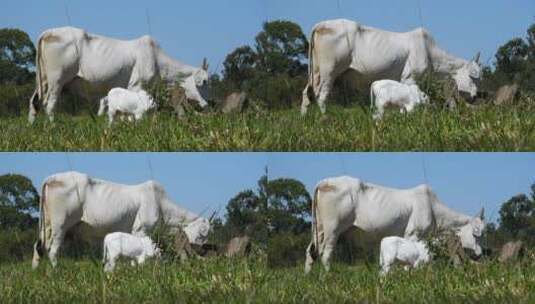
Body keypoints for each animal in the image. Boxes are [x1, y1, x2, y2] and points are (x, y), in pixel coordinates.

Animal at [28, 26, 210, 122]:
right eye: (204, 82)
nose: (206, 104)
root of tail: (49, 32)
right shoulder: (136, 86)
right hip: (57, 80)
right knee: (50, 104)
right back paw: (52, 126)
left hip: (43, 81)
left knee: (34, 102)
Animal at [31, 171, 214, 268]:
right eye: (202, 234)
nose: (201, 250)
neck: (160, 203)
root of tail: (53, 177)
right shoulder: (141, 230)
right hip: (60, 225)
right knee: (52, 250)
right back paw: (56, 272)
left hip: (47, 226)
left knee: (38, 248)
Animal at [304, 19, 484, 114]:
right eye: (473, 75)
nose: (475, 96)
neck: (429, 51)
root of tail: (320, 25)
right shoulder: (409, 78)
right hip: (329, 72)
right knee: (321, 96)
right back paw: (324, 119)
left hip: (316, 72)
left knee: (307, 94)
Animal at [306, 176, 486, 274]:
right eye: (477, 234)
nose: (480, 254)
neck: (433, 208)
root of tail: (325, 181)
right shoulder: (413, 234)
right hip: (333, 229)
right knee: (325, 254)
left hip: (319, 229)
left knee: (311, 252)